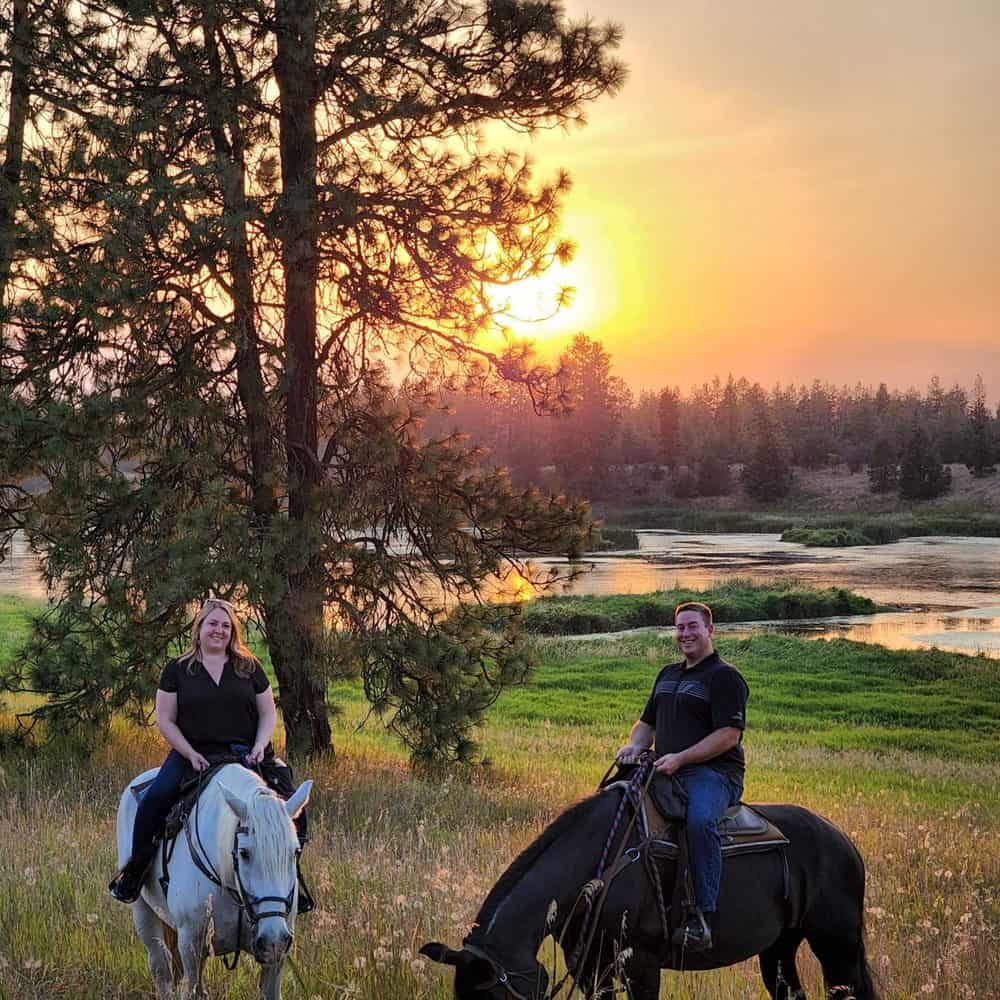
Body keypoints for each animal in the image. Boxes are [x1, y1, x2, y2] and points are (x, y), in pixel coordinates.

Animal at [114, 760, 308, 996]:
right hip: (143, 912)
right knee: (160, 968)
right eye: (244, 853)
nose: (274, 940)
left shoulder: (275, 961)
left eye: (295, 852)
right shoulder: (191, 947)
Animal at [422, 788, 876, 1000]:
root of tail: (844, 842)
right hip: (779, 949)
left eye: (496, 998)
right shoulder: (592, 970)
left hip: (836, 946)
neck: (598, 869)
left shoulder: (642, 965)